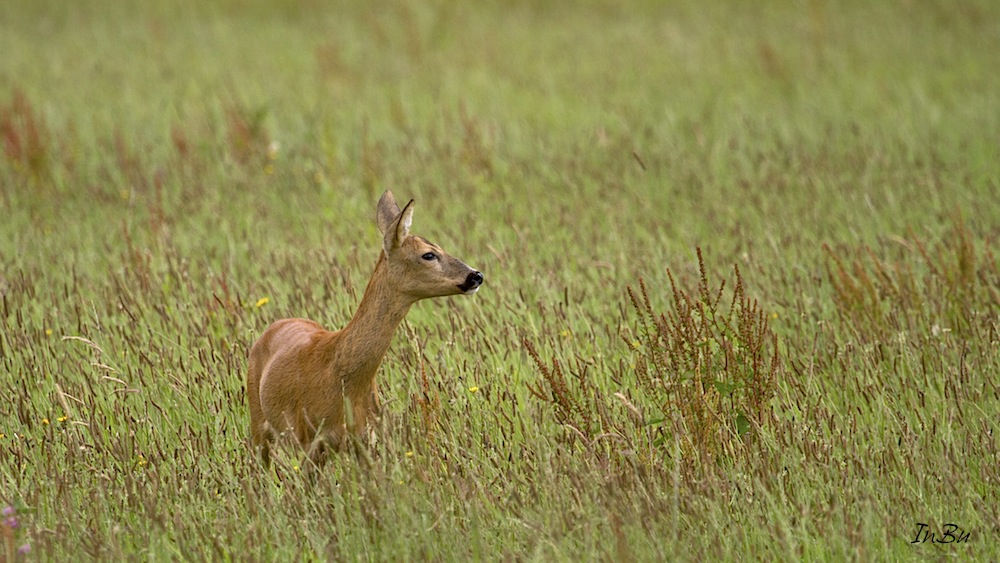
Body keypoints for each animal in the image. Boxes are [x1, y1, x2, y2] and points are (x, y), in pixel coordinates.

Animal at [249, 191, 484, 468]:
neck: (341, 375)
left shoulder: (366, 439)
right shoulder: (307, 438)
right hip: (259, 422)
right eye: (428, 254)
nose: (476, 275)